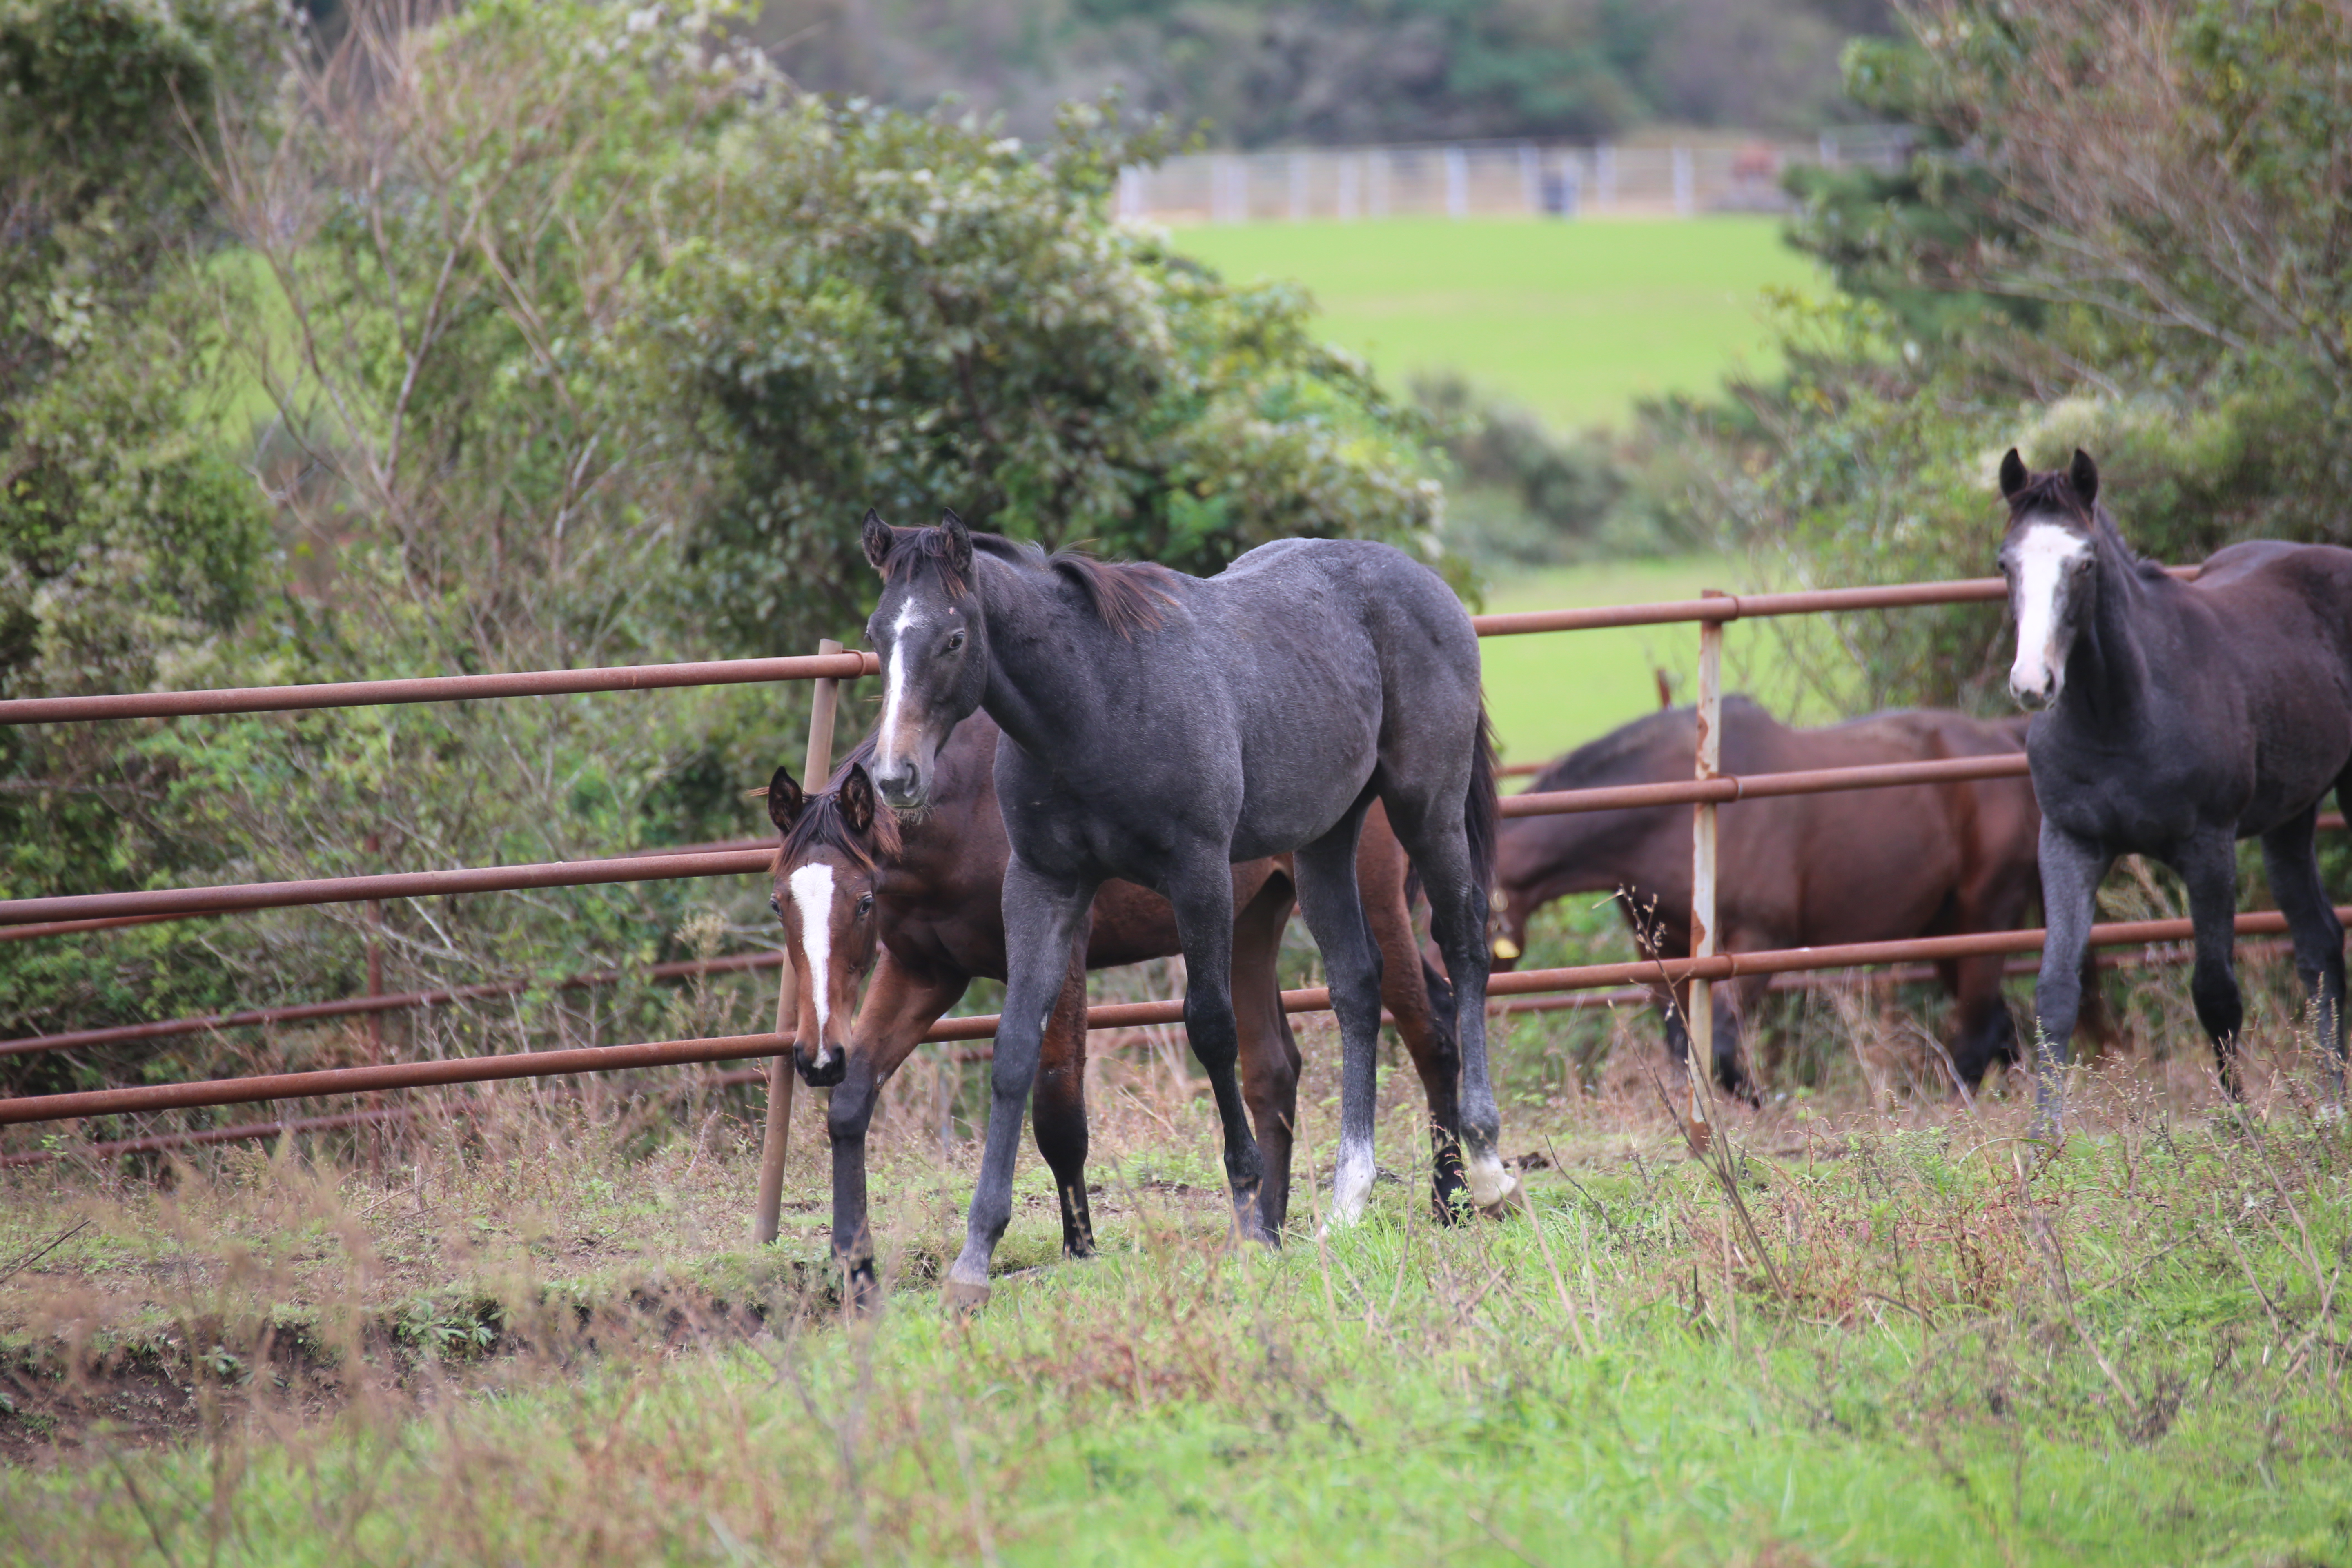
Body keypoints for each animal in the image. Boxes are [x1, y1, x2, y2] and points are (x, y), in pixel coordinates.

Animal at [771, 710, 1468, 1297]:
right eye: (780, 903)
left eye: (863, 901)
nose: (816, 1055)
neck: (966, 810)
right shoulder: (924, 973)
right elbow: (852, 1103)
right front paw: (855, 1271)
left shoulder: (1062, 954)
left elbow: (1058, 1113)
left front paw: (1079, 1250)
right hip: (1249, 919)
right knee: (1273, 1070)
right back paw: (1263, 1229)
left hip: (1372, 901)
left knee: (1430, 1027)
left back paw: (1451, 1201)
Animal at [865, 514, 1505, 1316]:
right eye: (877, 634)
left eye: (953, 639)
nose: (895, 777)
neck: (1096, 700)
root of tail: (1426, 583)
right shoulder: (1044, 886)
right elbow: (1013, 1052)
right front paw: (974, 1259)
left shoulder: (1198, 874)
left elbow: (1211, 1029)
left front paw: (1251, 1214)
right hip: (1327, 839)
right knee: (1358, 986)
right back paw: (1347, 1203)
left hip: (1428, 809)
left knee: (1465, 948)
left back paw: (1485, 1172)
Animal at [1486, 705, 2117, 1100]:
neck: (1674, 814)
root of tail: (2006, 741)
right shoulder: (1661, 952)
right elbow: (1684, 1044)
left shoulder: (1756, 944)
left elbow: (1717, 1045)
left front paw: (1759, 1106)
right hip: (1946, 932)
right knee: (2000, 1029)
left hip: (1984, 919)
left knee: (1980, 1031)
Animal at [2004, 446, 2352, 1109]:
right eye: (2006, 564)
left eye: (2085, 563)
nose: (2034, 683)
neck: (2120, 715)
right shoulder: (2068, 843)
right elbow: (2055, 993)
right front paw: (2043, 1138)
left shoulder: (2208, 847)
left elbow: (2216, 995)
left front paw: (2241, 1125)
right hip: (2290, 817)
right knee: (2319, 943)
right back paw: (2331, 1099)